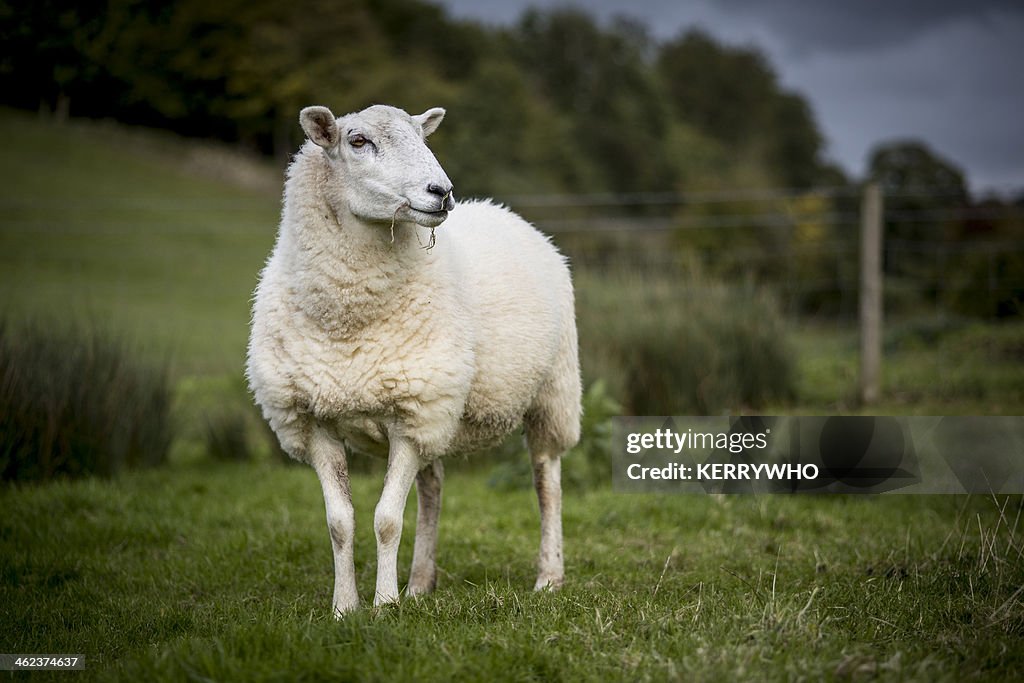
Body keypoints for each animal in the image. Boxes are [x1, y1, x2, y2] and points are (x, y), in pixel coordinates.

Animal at [246, 104, 581, 618]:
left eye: (422, 139)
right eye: (358, 141)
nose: (441, 192)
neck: (350, 321)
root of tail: (503, 211)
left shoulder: (410, 417)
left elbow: (386, 519)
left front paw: (383, 605)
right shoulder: (314, 419)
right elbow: (339, 522)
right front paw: (344, 608)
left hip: (551, 392)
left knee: (548, 482)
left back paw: (548, 576)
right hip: (439, 412)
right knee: (433, 487)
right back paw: (421, 583)